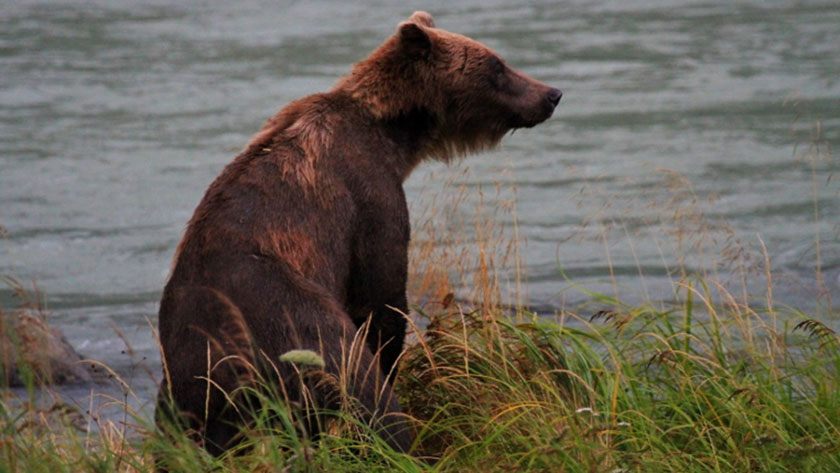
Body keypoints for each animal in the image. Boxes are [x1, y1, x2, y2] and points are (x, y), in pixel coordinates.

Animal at [158, 9, 564, 456]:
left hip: (184, 380)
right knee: (359, 385)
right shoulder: (369, 195)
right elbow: (381, 296)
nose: (552, 94)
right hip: (288, 318)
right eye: (497, 66)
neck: (394, 134)